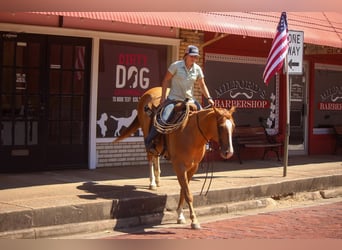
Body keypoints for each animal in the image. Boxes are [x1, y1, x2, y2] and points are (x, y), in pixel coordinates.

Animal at [113, 87, 235, 229]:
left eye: (233, 126)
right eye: (220, 126)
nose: (229, 152)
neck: (191, 132)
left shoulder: (193, 167)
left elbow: (183, 190)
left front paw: (180, 215)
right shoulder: (179, 166)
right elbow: (188, 193)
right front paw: (194, 220)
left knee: (156, 157)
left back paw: (158, 179)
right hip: (146, 136)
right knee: (150, 158)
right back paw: (152, 183)